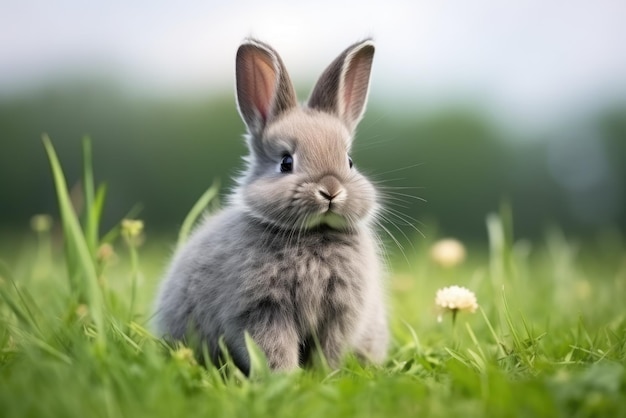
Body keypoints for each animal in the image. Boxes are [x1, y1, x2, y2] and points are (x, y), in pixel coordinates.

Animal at [154, 38, 388, 372]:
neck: (313, 234)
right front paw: (286, 377)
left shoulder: (340, 315)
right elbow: (274, 349)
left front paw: (323, 375)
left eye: (350, 162)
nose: (331, 191)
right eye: (286, 162)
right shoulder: (263, 310)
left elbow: (329, 349)